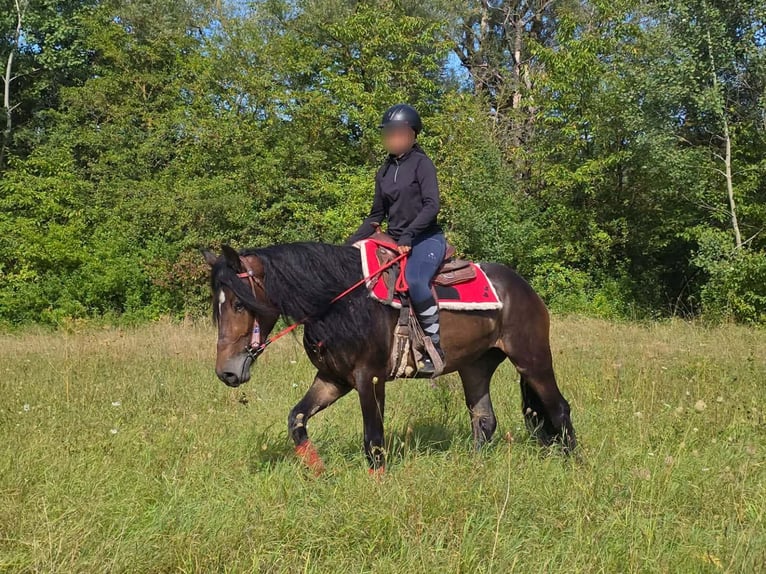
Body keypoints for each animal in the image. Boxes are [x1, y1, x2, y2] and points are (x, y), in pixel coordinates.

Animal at [203, 241, 576, 473]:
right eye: (218, 305)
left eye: (239, 304)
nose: (226, 373)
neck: (341, 303)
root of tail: (525, 289)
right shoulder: (333, 380)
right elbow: (297, 419)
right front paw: (320, 473)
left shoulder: (369, 377)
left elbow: (374, 439)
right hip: (475, 367)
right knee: (484, 419)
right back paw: (475, 469)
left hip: (532, 358)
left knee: (558, 408)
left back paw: (574, 465)